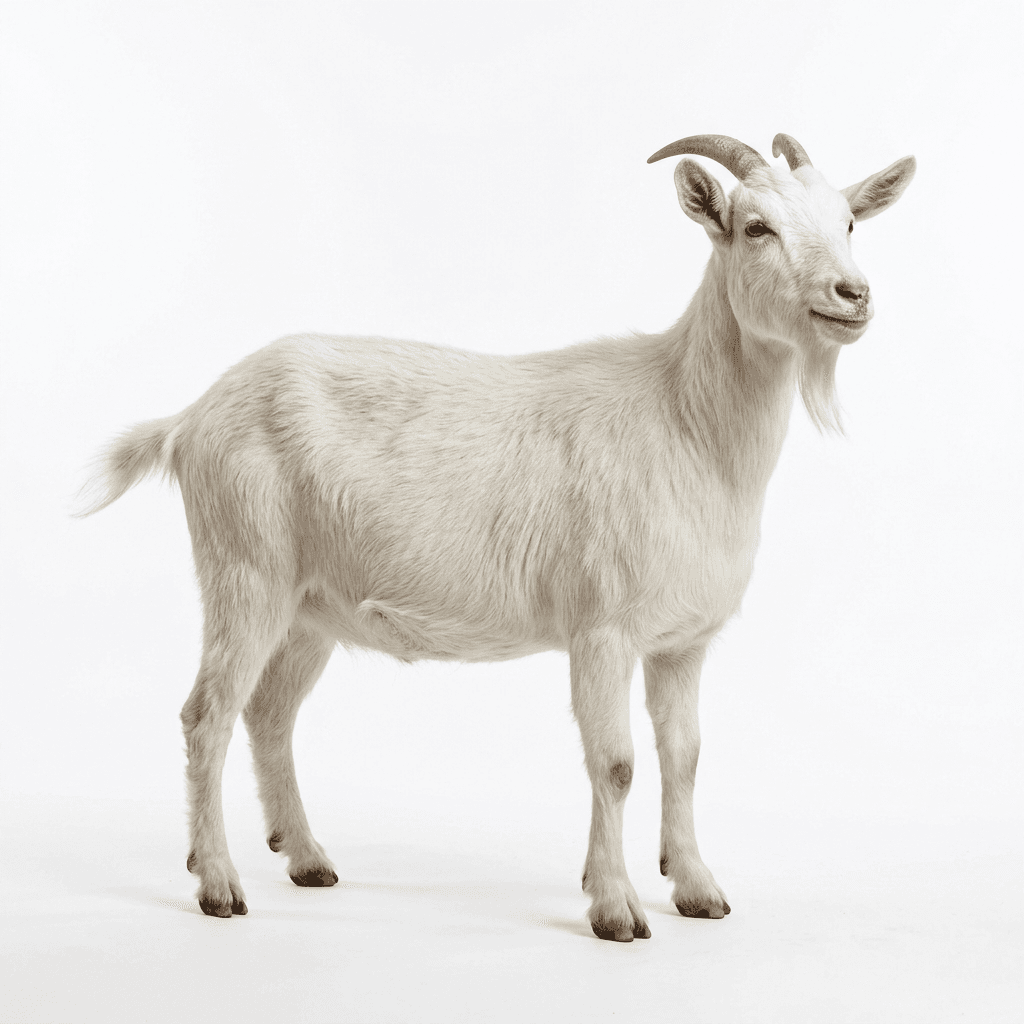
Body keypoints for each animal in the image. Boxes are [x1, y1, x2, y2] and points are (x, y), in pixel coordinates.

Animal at [80, 134, 915, 940]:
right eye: (755, 227)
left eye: (848, 222)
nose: (853, 295)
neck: (686, 423)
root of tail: (191, 418)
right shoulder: (602, 629)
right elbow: (616, 763)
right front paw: (615, 910)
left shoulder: (683, 641)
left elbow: (685, 757)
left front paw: (698, 890)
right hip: (244, 568)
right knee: (207, 714)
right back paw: (218, 884)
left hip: (309, 603)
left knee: (269, 712)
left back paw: (307, 857)